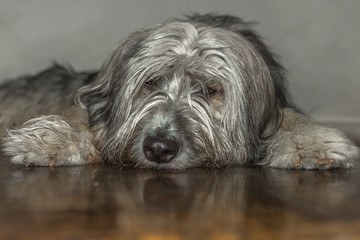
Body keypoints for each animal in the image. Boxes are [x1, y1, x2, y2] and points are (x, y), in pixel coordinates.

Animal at [0, 14, 360, 169]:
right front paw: (51, 139)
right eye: (151, 82)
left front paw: (310, 143)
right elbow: (81, 116)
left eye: (210, 89)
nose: (159, 149)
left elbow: (289, 117)